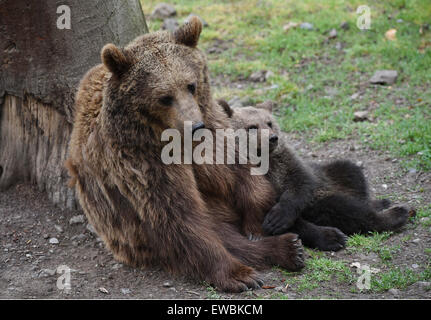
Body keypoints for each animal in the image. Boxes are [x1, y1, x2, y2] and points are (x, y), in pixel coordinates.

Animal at [66, 16, 306, 292]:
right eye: (164, 97)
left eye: (190, 85)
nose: (195, 126)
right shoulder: (141, 162)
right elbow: (179, 217)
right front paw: (238, 275)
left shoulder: (215, 129)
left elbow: (243, 174)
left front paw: (257, 224)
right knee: (215, 235)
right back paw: (284, 250)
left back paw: (290, 247)